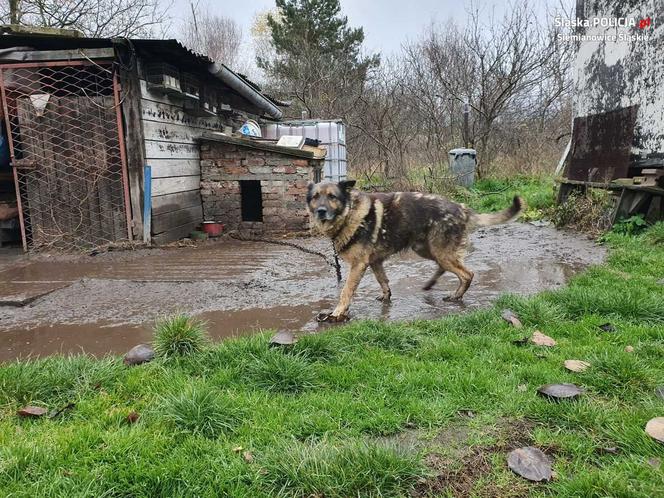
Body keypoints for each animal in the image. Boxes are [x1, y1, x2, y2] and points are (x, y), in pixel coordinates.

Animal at [306, 181, 524, 320]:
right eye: (316, 197)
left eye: (332, 197)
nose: (321, 212)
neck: (349, 213)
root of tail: (462, 208)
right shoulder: (375, 262)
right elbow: (383, 281)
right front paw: (386, 297)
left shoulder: (358, 265)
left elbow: (346, 291)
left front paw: (337, 312)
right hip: (427, 250)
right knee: (444, 267)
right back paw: (430, 284)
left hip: (441, 253)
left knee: (467, 273)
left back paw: (456, 296)